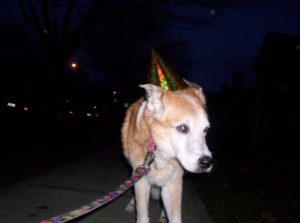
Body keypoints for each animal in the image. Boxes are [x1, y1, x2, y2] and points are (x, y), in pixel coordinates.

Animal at [120, 80, 212, 223]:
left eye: (206, 129)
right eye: (183, 128)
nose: (207, 163)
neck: (158, 151)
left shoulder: (173, 184)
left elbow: (175, 218)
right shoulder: (142, 181)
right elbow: (142, 215)